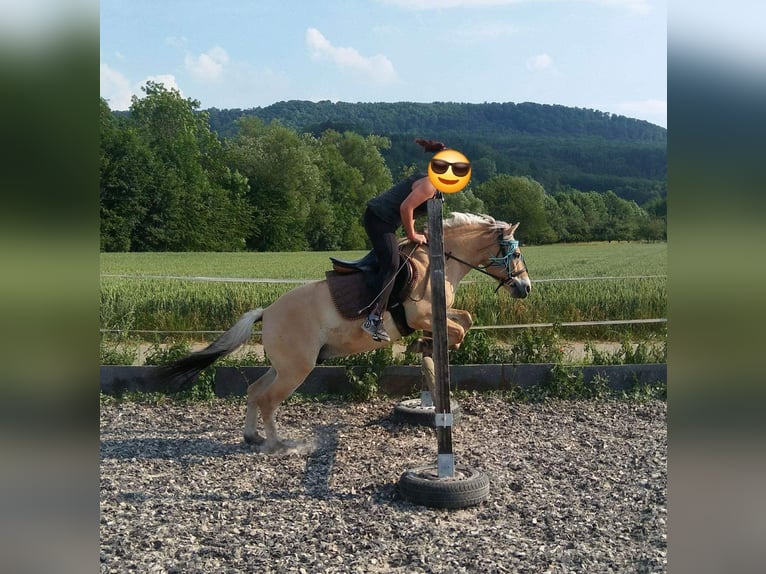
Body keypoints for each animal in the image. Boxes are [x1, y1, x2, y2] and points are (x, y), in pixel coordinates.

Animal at [159, 212, 531, 452]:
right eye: (517, 253)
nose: (525, 288)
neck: (437, 260)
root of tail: (266, 312)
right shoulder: (421, 314)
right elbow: (458, 328)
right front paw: (424, 347)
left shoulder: (435, 314)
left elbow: (465, 319)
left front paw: (425, 347)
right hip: (297, 370)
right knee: (267, 400)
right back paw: (278, 445)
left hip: (284, 366)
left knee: (254, 391)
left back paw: (253, 438)